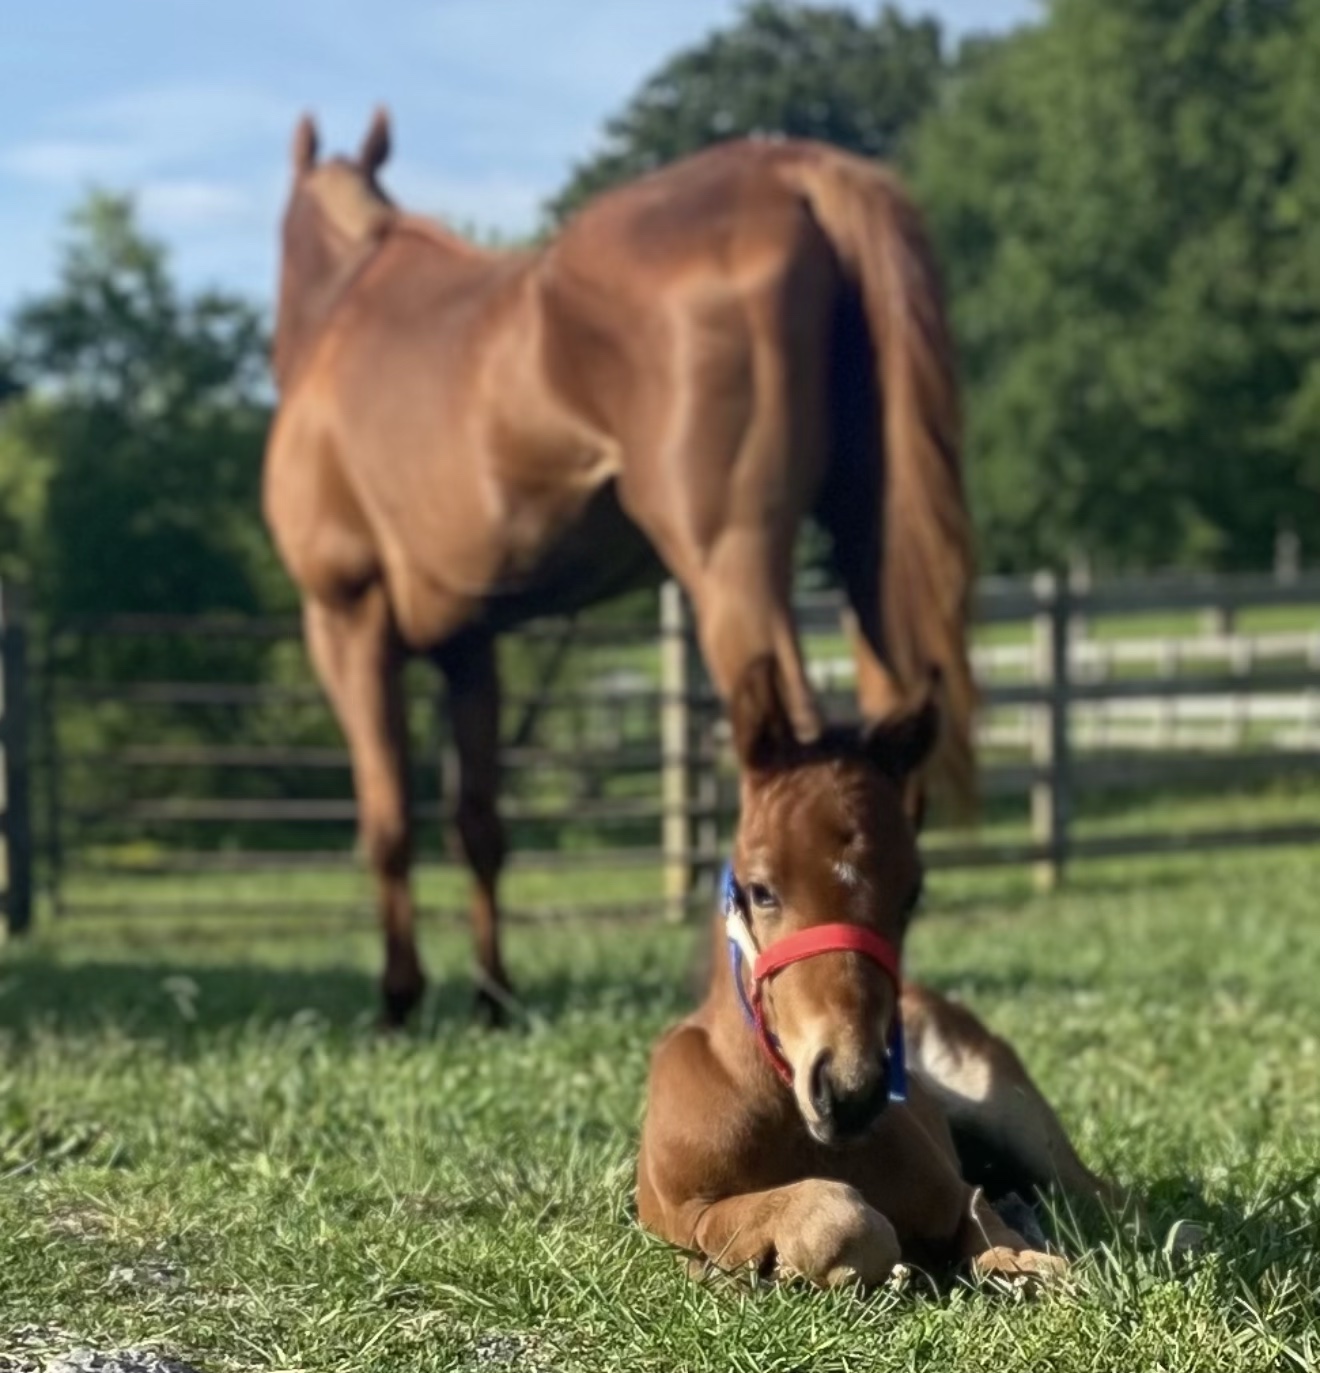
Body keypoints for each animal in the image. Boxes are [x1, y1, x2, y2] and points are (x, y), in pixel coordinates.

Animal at [263, 108, 976, 1027]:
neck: (343, 309)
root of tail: (792, 171)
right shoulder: (471, 644)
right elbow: (478, 824)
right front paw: (493, 995)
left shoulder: (346, 619)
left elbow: (387, 824)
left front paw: (398, 998)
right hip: (865, 549)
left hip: (731, 561)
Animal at [636, 656, 1125, 1288]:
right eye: (761, 889)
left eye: (910, 895)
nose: (851, 1091)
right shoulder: (686, 1212)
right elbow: (838, 1217)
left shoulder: (956, 1193)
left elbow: (1001, 1238)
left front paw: (1023, 1266)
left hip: (1015, 1116)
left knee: (1100, 1194)